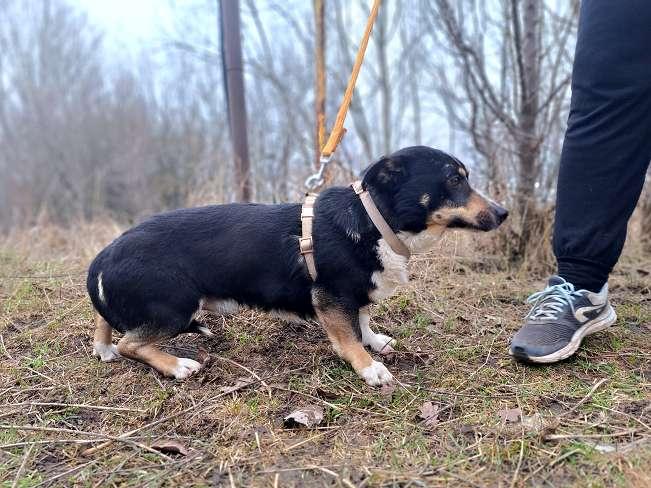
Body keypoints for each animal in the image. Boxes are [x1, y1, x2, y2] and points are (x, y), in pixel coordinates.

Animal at [87, 146, 507, 386]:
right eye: (454, 180)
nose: (504, 213)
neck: (374, 221)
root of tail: (106, 253)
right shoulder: (332, 297)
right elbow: (348, 339)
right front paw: (368, 367)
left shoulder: (353, 294)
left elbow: (363, 320)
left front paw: (375, 341)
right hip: (175, 307)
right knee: (132, 342)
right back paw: (176, 365)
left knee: (107, 322)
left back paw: (103, 348)